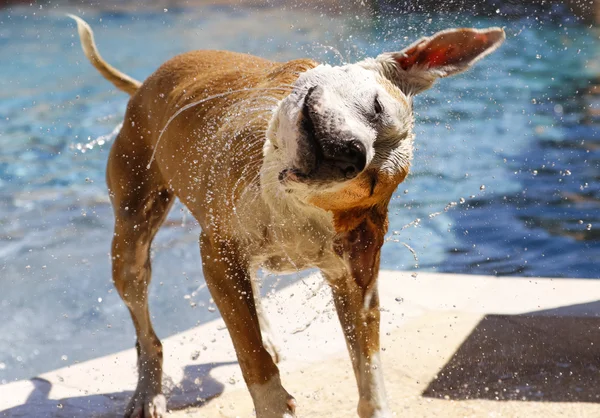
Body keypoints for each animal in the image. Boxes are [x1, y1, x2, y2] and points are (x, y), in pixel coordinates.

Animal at [71, 14, 506, 416]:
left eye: (369, 181)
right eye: (377, 106)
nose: (351, 153)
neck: (285, 202)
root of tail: (142, 86)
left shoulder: (352, 281)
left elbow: (368, 369)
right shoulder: (218, 254)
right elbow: (252, 355)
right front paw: (273, 402)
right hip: (130, 245)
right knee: (148, 334)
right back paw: (149, 392)